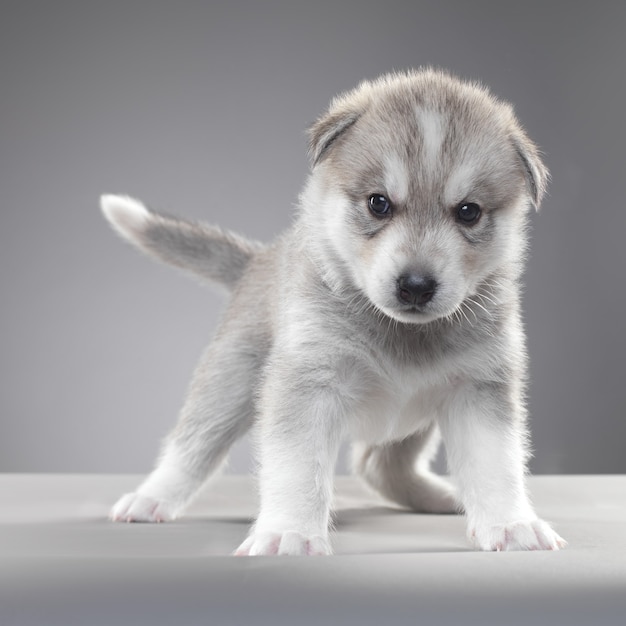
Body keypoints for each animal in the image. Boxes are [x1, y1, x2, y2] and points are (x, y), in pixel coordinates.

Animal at [103, 70, 564, 552]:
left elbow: (496, 464)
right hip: (229, 384)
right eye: (378, 203)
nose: (416, 286)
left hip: (415, 421)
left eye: (469, 212)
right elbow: (298, 468)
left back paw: (443, 497)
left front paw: (512, 525)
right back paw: (151, 498)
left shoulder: (477, 388)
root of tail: (260, 258)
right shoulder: (310, 382)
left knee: (378, 465)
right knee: (191, 448)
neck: (401, 332)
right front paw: (288, 532)